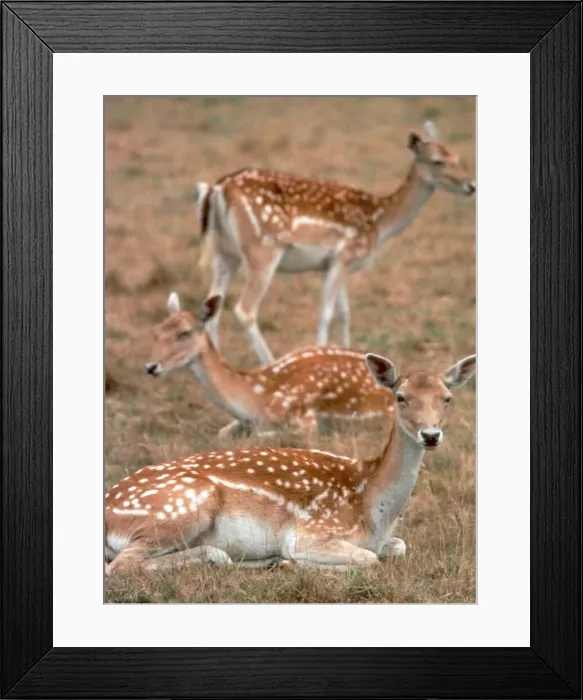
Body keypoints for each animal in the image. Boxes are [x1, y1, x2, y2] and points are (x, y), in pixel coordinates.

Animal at [105, 351, 476, 574]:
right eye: (400, 397)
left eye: (447, 398)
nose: (431, 435)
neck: (374, 509)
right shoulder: (309, 532)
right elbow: (368, 558)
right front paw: (293, 564)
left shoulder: (387, 539)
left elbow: (398, 546)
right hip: (181, 508)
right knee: (120, 565)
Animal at [144, 292, 395, 441]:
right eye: (157, 331)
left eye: (184, 333)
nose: (150, 366)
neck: (255, 397)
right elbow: (221, 433)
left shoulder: (304, 419)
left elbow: (260, 436)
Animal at [194, 120, 475, 366]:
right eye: (438, 161)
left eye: (457, 157)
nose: (471, 185)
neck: (379, 221)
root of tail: (216, 190)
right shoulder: (344, 255)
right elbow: (326, 314)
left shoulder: (335, 264)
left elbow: (344, 314)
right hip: (262, 249)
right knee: (245, 309)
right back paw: (269, 363)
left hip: (225, 253)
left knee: (213, 307)